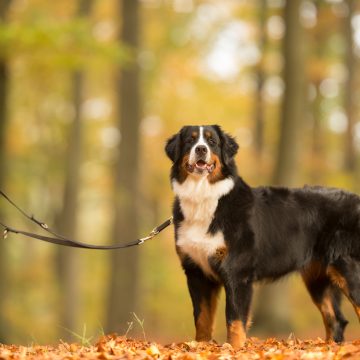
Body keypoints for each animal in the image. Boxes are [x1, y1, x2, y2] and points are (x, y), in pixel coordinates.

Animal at [165, 124, 360, 348]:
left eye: (211, 141)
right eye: (190, 140)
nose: (201, 149)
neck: (204, 199)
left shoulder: (237, 272)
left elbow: (234, 320)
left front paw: (234, 349)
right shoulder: (197, 272)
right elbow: (202, 320)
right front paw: (201, 348)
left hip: (349, 269)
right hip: (318, 278)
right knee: (336, 319)